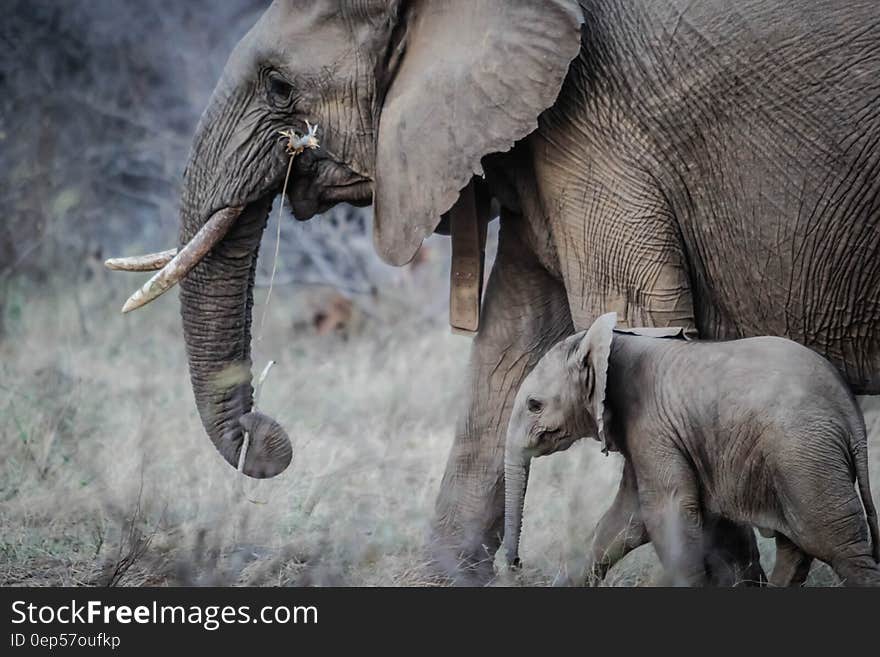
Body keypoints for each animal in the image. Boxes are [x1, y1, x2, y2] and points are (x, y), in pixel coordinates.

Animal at [502, 312, 880, 584]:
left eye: (534, 405)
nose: (515, 563)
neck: (612, 340)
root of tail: (849, 411)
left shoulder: (652, 426)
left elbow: (667, 514)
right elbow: (624, 521)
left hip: (803, 456)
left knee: (837, 547)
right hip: (797, 460)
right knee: (798, 546)